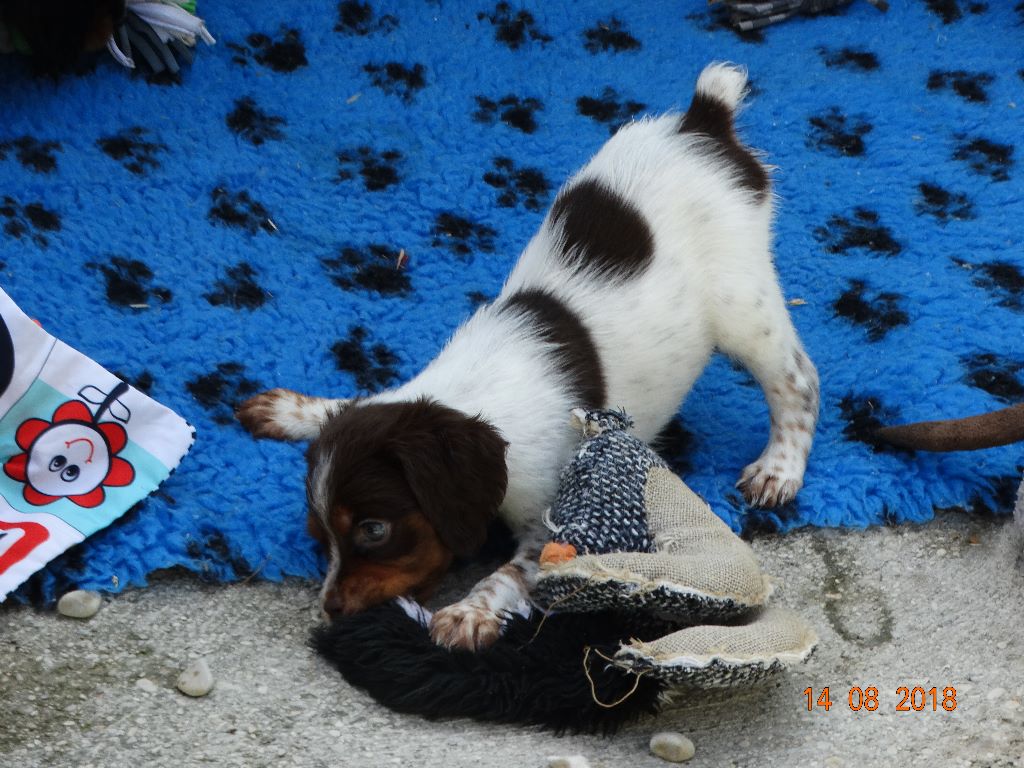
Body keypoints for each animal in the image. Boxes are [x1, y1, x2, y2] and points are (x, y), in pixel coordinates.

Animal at [237, 63, 820, 651]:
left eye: (373, 530)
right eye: (319, 536)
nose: (331, 612)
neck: (472, 396)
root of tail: (703, 120)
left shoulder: (555, 522)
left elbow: (510, 573)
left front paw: (467, 613)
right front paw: (293, 409)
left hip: (743, 305)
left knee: (798, 379)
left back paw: (778, 469)